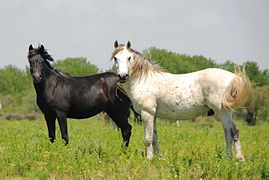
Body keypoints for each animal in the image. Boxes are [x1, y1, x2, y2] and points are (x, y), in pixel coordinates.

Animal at [111, 40, 249, 160]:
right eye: (115, 58)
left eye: (129, 58)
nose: (122, 76)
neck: (145, 80)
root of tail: (233, 77)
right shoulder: (153, 116)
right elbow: (155, 137)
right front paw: (158, 158)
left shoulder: (147, 113)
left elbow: (148, 139)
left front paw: (149, 159)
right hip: (225, 113)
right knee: (229, 133)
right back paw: (229, 158)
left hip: (222, 111)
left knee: (232, 132)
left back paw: (238, 159)